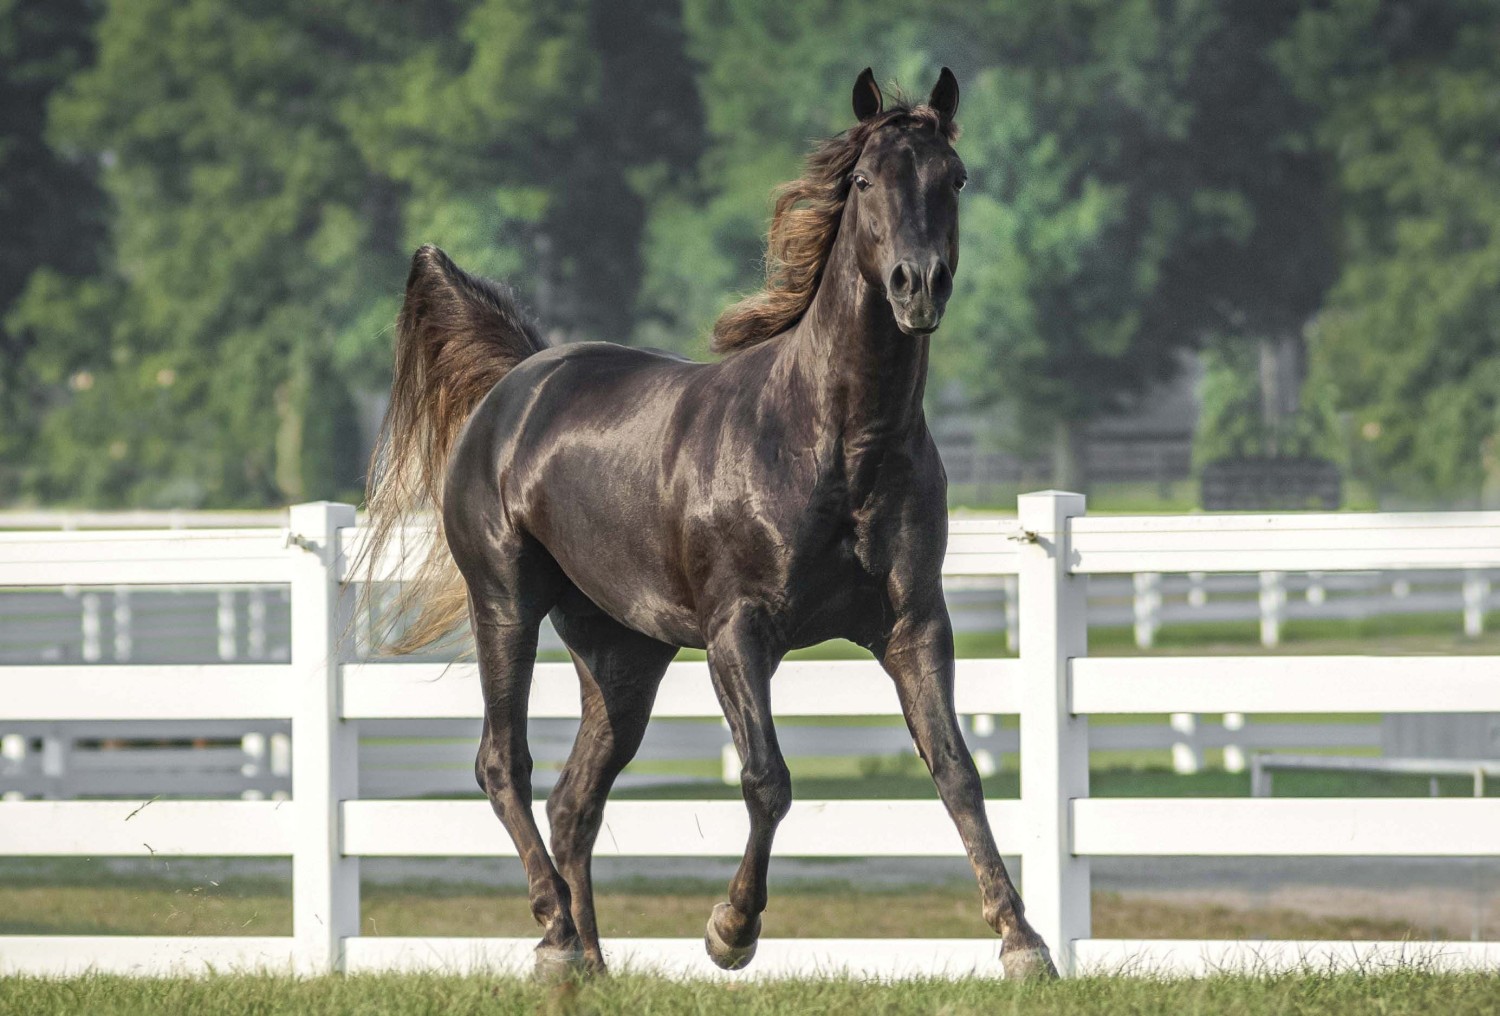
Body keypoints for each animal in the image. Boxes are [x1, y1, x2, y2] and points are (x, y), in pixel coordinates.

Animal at [366, 67, 1056, 978]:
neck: (837, 441)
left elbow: (956, 770)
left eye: (956, 178)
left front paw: (1023, 942)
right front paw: (731, 930)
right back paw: (555, 932)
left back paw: (589, 964)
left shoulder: (913, 627)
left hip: (624, 656)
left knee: (574, 801)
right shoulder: (739, 633)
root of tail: (517, 384)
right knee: (502, 765)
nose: (920, 285)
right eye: (866, 182)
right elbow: (768, 778)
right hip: (506, 606)